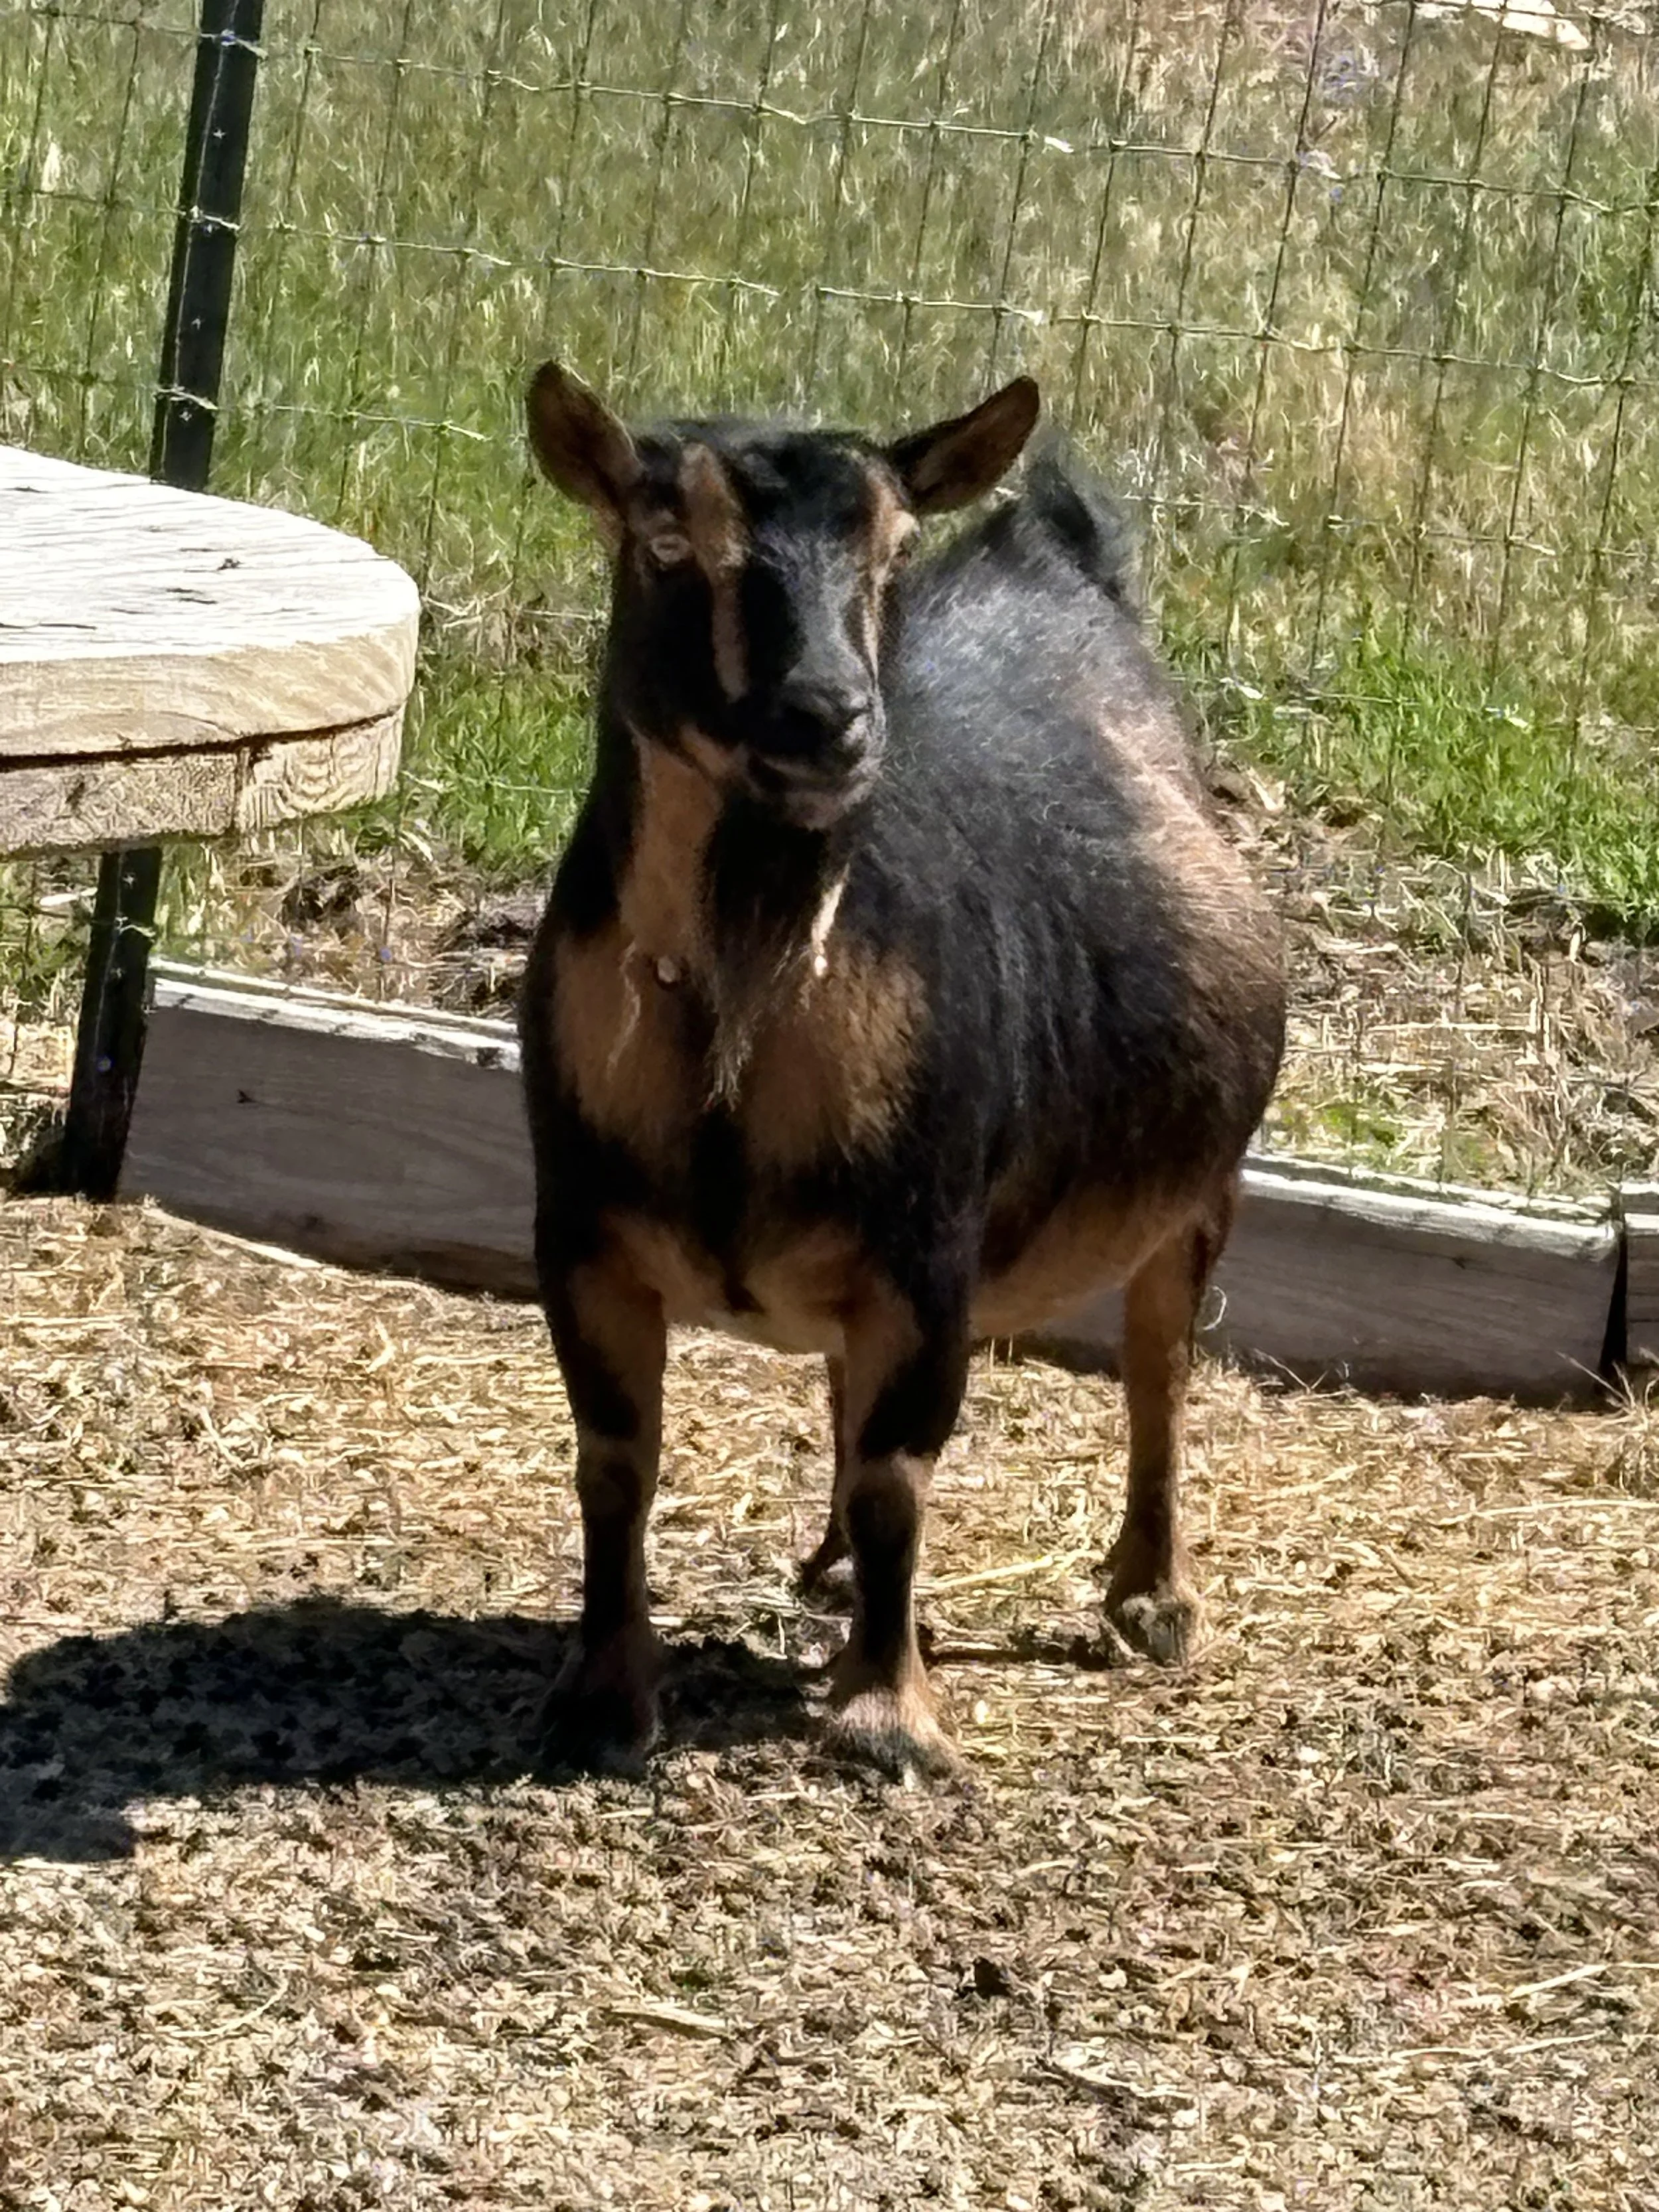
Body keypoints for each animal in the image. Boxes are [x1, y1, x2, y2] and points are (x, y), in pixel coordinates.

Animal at [519, 362, 1285, 1778]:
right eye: (665, 540)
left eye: (892, 550)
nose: (828, 718)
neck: (746, 987)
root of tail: (1060, 561)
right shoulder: (579, 1234)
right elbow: (616, 1459)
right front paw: (600, 1697)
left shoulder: (930, 1248)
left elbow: (897, 1477)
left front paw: (888, 1716)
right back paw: (825, 1566)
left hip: (1201, 1180)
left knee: (1161, 1358)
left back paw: (1151, 1595)